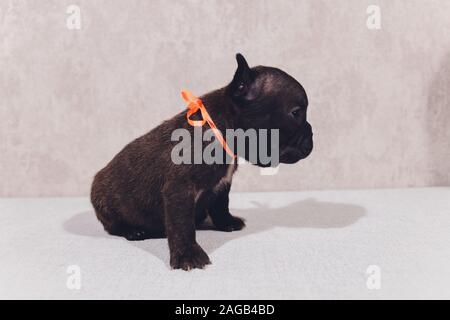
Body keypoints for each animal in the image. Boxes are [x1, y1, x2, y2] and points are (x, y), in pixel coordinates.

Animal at [89, 54, 312, 270]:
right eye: (296, 113)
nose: (311, 138)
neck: (222, 130)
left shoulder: (223, 184)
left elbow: (221, 205)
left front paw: (226, 222)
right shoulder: (180, 189)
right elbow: (182, 225)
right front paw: (188, 255)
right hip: (104, 200)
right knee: (112, 225)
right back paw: (133, 231)